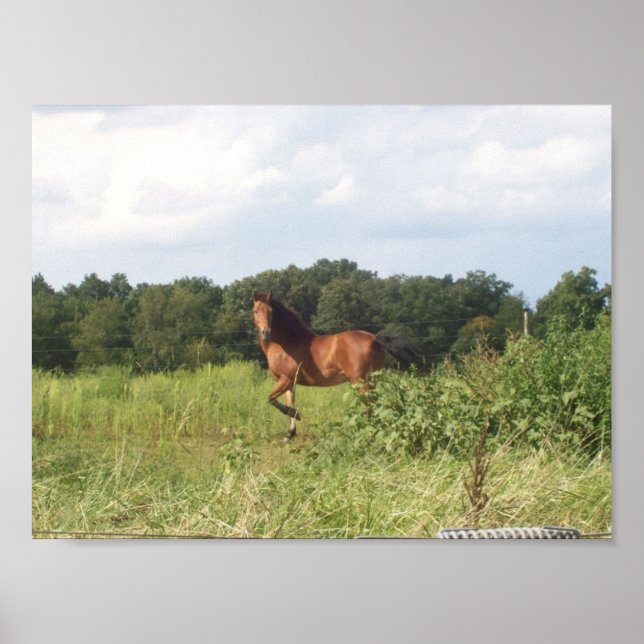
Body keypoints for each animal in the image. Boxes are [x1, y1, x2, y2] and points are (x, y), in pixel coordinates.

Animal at [252, 290, 418, 438]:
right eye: (255, 311)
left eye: (271, 311)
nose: (266, 332)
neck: (287, 343)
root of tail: (374, 338)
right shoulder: (290, 382)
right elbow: (289, 402)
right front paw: (290, 433)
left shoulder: (285, 379)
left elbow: (271, 399)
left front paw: (297, 415)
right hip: (371, 381)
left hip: (360, 382)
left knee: (369, 406)